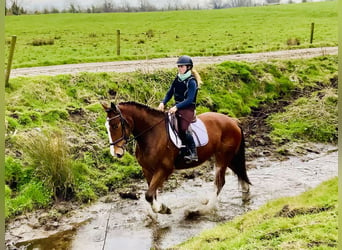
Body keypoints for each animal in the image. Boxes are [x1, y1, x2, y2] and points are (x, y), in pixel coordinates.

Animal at [102, 101, 251, 215]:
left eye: (115, 125)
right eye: (107, 127)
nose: (116, 153)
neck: (151, 135)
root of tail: (233, 121)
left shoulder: (164, 169)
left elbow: (149, 195)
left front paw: (162, 209)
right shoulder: (147, 170)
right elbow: (152, 193)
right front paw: (158, 209)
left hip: (222, 157)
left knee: (220, 182)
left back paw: (204, 209)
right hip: (229, 157)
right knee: (239, 172)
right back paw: (245, 193)